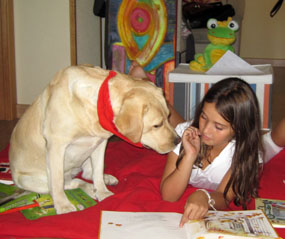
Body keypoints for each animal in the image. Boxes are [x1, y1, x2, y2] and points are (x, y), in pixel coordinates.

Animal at [9, 65, 180, 215]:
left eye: (169, 116)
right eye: (157, 125)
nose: (178, 141)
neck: (97, 103)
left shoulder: (100, 142)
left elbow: (98, 171)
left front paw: (103, 192)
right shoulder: (56, 145)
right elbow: (57, 182)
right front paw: (63, 205)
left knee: (86, 174)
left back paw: (105, 179)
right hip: (30, 179)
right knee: (68, 182)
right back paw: (88, 189)